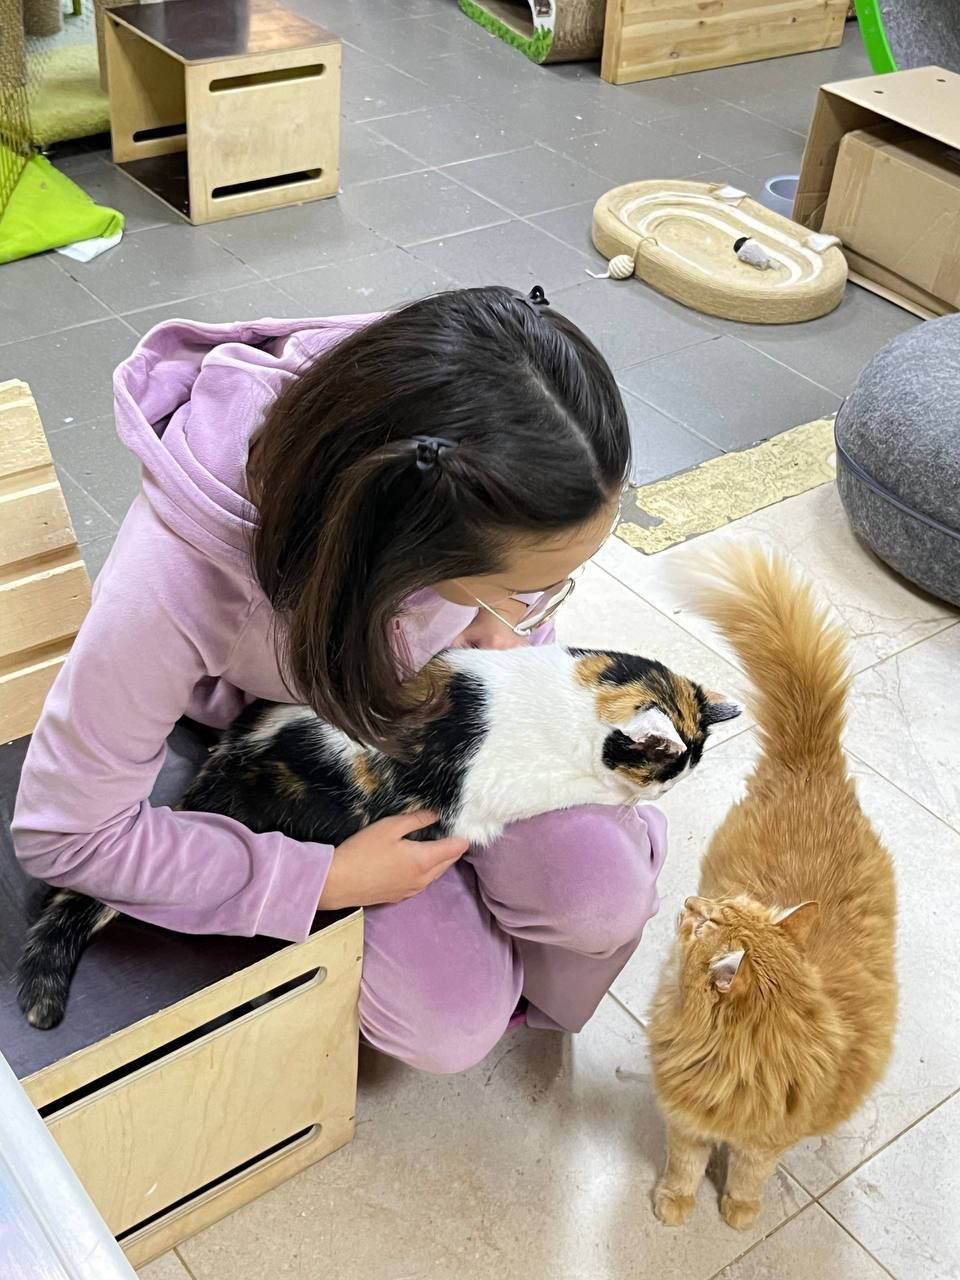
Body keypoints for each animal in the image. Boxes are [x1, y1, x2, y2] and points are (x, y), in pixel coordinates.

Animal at [648, 545, 896, 1231]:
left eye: (708, 921)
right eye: (719, 906)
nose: (691, 901)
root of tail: (815, 765)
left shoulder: (763, 1139)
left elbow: (747, 1175)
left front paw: (737, 1211)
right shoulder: (684, 1120)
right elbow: (683, 1166)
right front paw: (676, 1205)